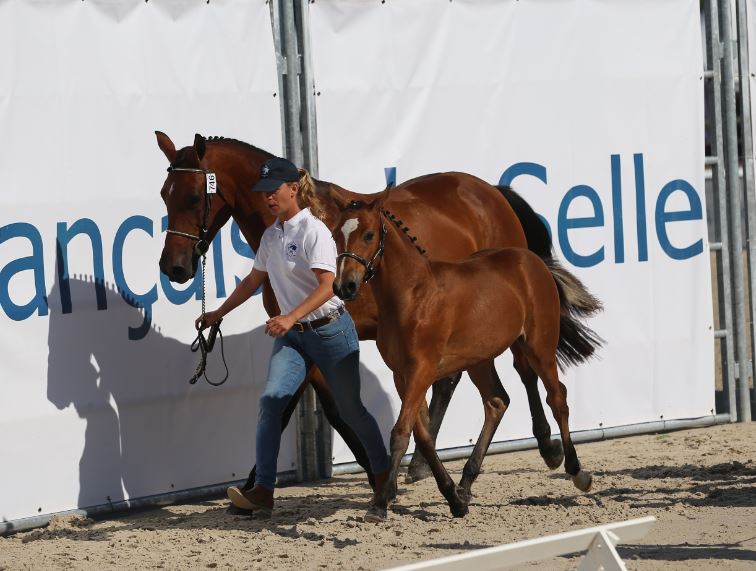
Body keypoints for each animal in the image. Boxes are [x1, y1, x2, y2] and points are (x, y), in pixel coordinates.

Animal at [334, 192, 600, 524]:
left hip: (538, 345)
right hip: (479, 359)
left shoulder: (422, 369)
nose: (344, 286)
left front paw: (379, 504)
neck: (412, 295)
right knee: (497, 401)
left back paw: (577, 472)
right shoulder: (401, 375)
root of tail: (532, 260)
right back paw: (465, 483)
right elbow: (423, 435)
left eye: (369, 235)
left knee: (557, 398)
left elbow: (401, 432)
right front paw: (454, 500)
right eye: (336, 234)